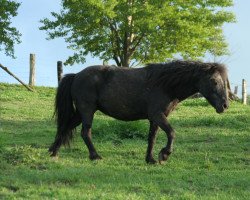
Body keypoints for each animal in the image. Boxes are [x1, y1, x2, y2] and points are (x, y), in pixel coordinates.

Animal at [48, 60, 229, 164]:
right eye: (214, 81)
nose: (225, 105)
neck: (165, 84)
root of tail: (76, 75)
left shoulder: (154, 119)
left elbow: (152, 138)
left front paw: (151, 159)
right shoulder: (157, 115)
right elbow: (171, 133)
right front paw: (164, 155)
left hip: (80, 113)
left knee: (65, 127)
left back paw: (54, 152)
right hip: (87, 110)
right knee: (85, 132)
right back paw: (95, 156)